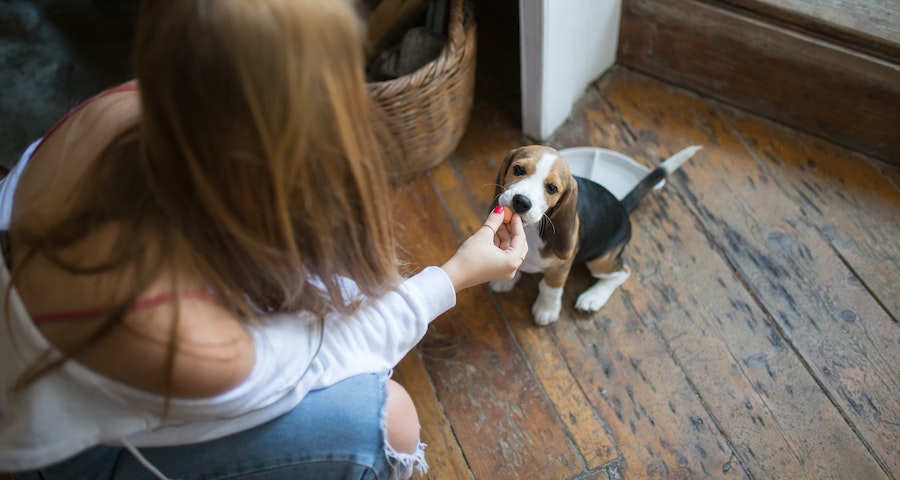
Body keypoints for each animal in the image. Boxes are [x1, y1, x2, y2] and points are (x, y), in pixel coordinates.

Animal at [488, 146, 700, 326]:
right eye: (518, 169)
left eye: (551, 188)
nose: (521, 202)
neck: (531, 230)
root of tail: (622, 206)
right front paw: (504, 278)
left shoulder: (561, 267)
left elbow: (550, 288)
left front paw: (546, 310)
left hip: (600, 261)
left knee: (623, 272)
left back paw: (594, 297)